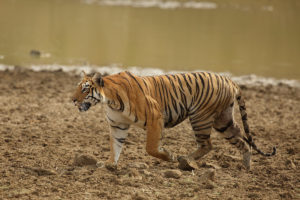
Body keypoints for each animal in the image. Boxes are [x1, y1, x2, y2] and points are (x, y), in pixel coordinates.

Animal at [71, 70, 276, 170]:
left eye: (85, 89)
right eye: (77, 87)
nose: (72, 100)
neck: (110, 100)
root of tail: (229, 80)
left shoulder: (155, 117)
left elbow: (151, 148)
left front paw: (168, 156)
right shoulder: (118, 125)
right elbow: (116, 146)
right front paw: (110, 164)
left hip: (200, 117)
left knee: (207, 144)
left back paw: (185, 160)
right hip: (223, 121)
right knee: (243, 141)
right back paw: (247, 167)